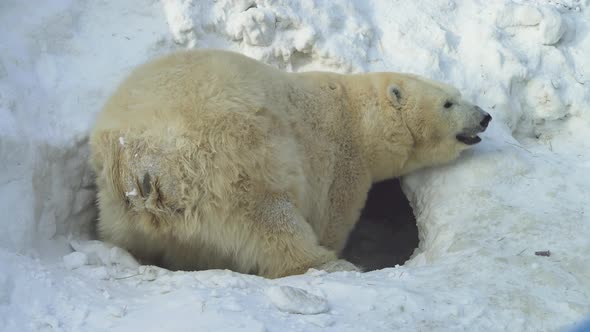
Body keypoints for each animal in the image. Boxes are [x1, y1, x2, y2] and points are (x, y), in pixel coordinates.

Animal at [89, 48, 494, 278]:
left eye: (459, 95)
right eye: (449, 103)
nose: (485, 117)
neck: (358, 116)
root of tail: (143, 164)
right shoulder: (339, 159)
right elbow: (333, 215)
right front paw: (336, 248)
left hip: (118, 205)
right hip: (230, 161)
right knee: (272, 221)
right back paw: (331, 264)